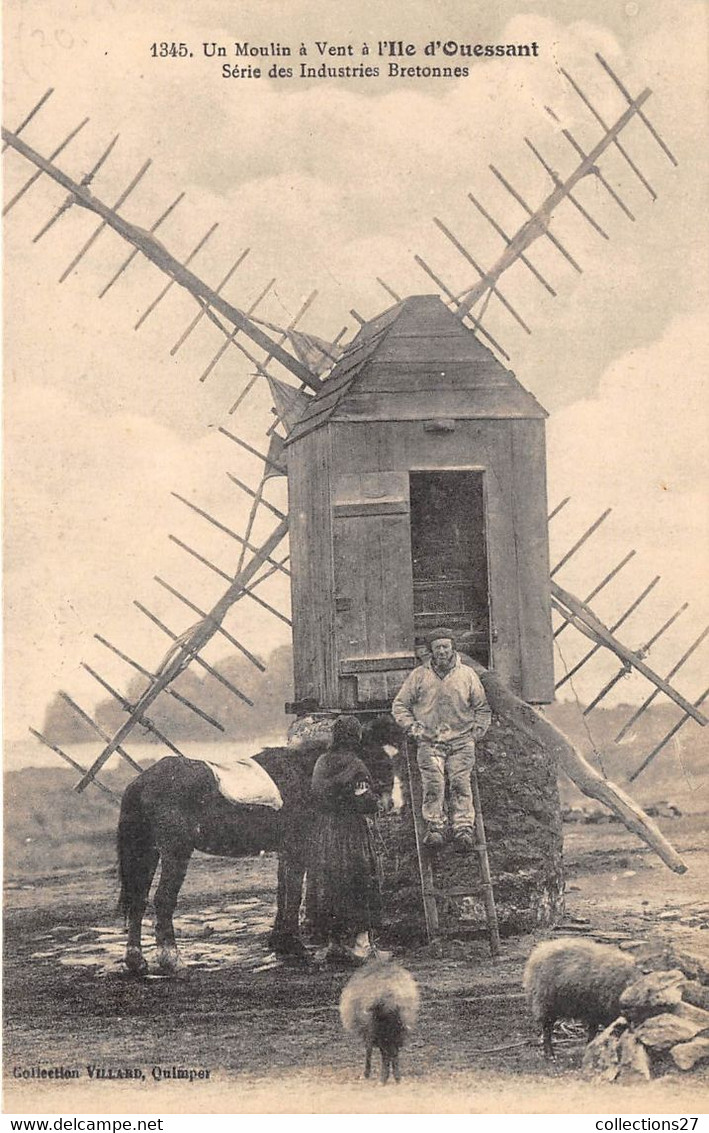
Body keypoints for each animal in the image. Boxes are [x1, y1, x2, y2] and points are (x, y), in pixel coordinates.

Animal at [116, 716, 398, 974]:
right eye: (375, 754)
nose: (387, 803)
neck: (303, 772)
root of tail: (141, 782)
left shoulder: (285, 850)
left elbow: (283, 893)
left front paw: (280, 943)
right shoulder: (297, 848)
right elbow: (293, 895)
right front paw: (295, 947)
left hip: (147, 852)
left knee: (138, 900)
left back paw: (136, 960)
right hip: (176, 852)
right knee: (163, 899)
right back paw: (171, 959)